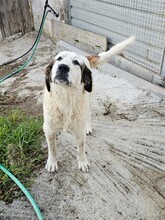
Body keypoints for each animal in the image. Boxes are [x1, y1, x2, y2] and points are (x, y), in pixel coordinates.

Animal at [43, 36, 135, 173]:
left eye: (76, 62)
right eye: (59, 58)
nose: (63, 67)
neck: (66, 96)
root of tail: (85, 56)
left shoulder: (79, 131)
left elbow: (81, 149)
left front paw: (83, 162)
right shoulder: (48, 128)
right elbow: (52, 148)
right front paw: (52, 162)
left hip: (88, 100)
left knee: (89, 115)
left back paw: (88, 127)